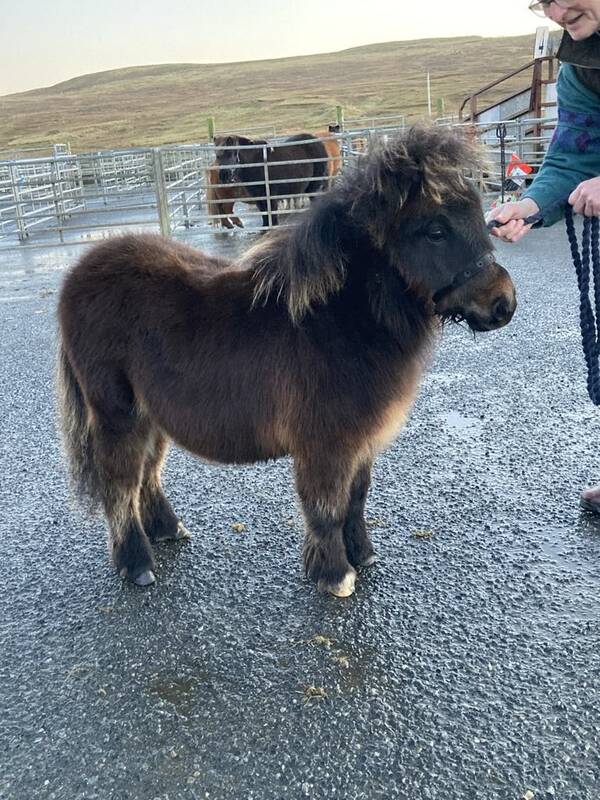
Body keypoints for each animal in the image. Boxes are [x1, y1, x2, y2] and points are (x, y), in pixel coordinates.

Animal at [56, 128, 516, 596]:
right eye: (436, 231)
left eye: (480, 215)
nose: (503, 304)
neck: (335, 318)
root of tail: (79, 273)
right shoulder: (327, 442)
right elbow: (327, 505)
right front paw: (335, 574)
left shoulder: (360, 442)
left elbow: (357, 497)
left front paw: (362, 554)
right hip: (117, 414)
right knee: (120, 485)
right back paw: (137, 564)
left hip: (151, 415)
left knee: (148, 475)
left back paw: (167, 529)